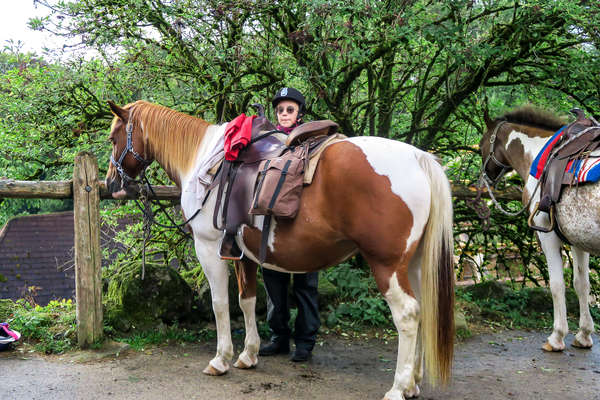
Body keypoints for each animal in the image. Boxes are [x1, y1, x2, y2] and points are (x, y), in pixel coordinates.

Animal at [105, 101, 452, 400]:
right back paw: (413, 383)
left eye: (113, 137)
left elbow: (220, 304)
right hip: (414, 265)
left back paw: (398, 388)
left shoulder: (209, 248)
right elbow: (246, 301)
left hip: (387, 265)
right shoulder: (241, 254)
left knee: (408, 315)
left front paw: (220, 359)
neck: (205, 162)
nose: (111, 185)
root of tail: (419, 159)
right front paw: (248, 354)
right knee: (423, 309)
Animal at [480, 107, 596, 354]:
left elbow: (557, 284)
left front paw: (557, 337)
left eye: (482, 145)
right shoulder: (579, 238)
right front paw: (583, 335)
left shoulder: (546, 233)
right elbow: (582, 284)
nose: (485, 178)